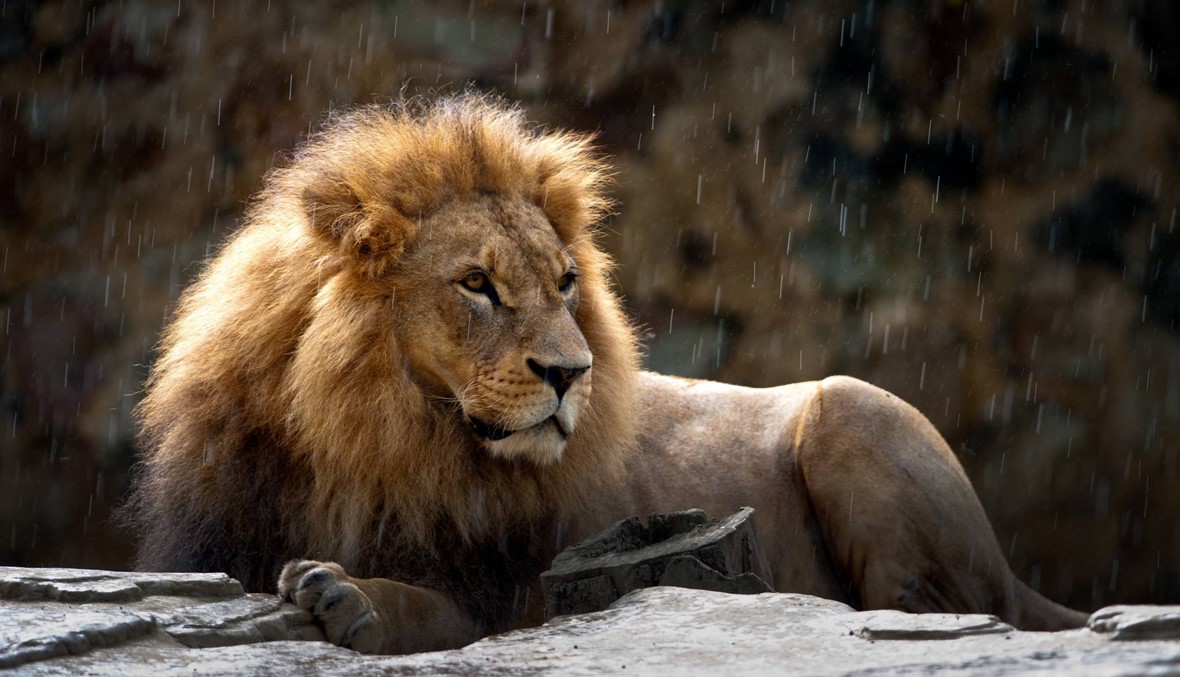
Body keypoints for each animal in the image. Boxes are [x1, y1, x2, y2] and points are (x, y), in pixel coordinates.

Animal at [128, 93, 1086, 655]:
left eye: (564, 283)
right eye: (477, 284)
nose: (571, 372)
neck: (367, 431)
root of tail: (1017, 569)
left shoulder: (512, 596)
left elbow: (427, 610)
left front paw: (345, 594)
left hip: (854, 408)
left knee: (940, 610)